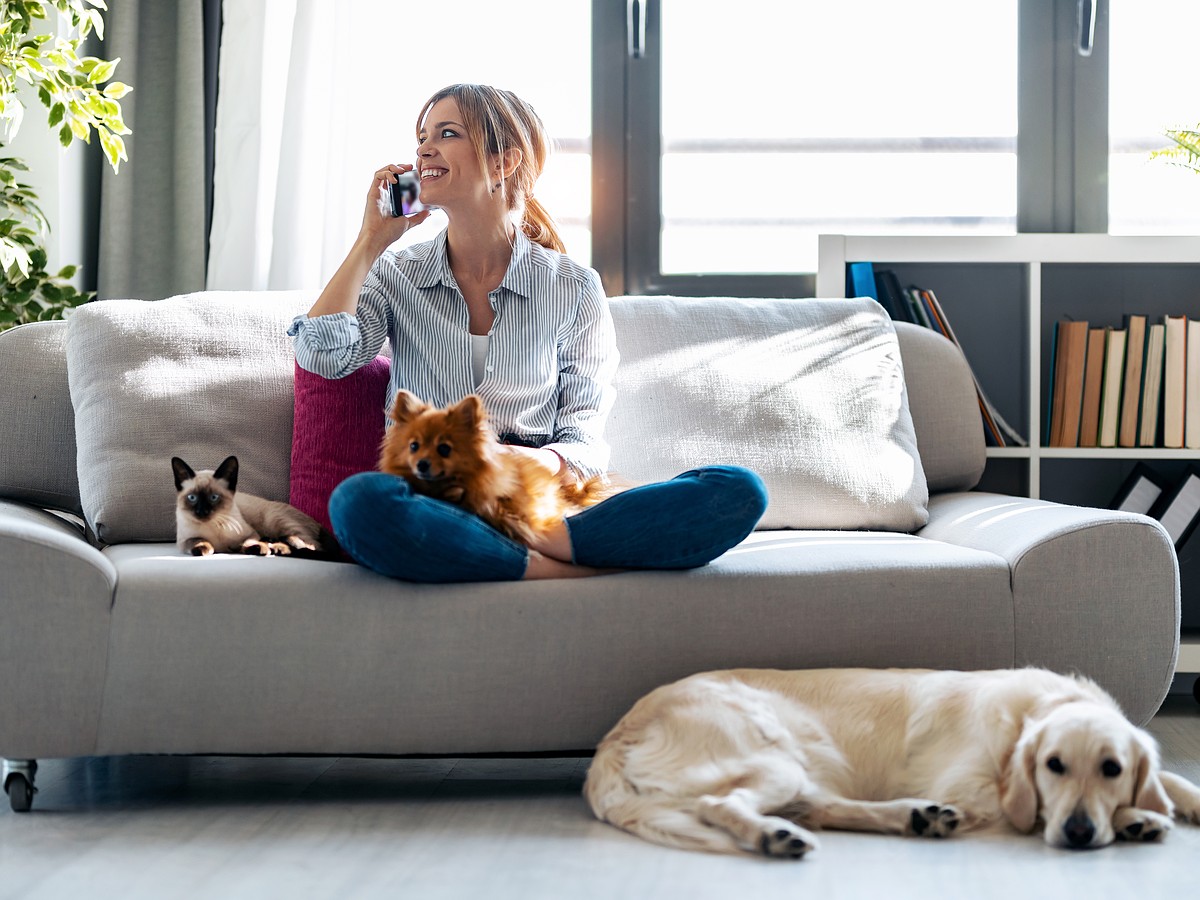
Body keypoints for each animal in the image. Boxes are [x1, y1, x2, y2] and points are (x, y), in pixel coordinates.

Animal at [170, 458, 333, 556]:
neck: (213, 526)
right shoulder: (184, 541)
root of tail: (317, 523)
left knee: (312, 546)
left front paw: (259, 548)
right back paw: (275, 546)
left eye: (214, 497)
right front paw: (203, 549)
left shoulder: (251, 533)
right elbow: (200, 540)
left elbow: (248, 542)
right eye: (192, 498)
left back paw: (275, 547)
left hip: (276, 521)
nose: (201, 512)